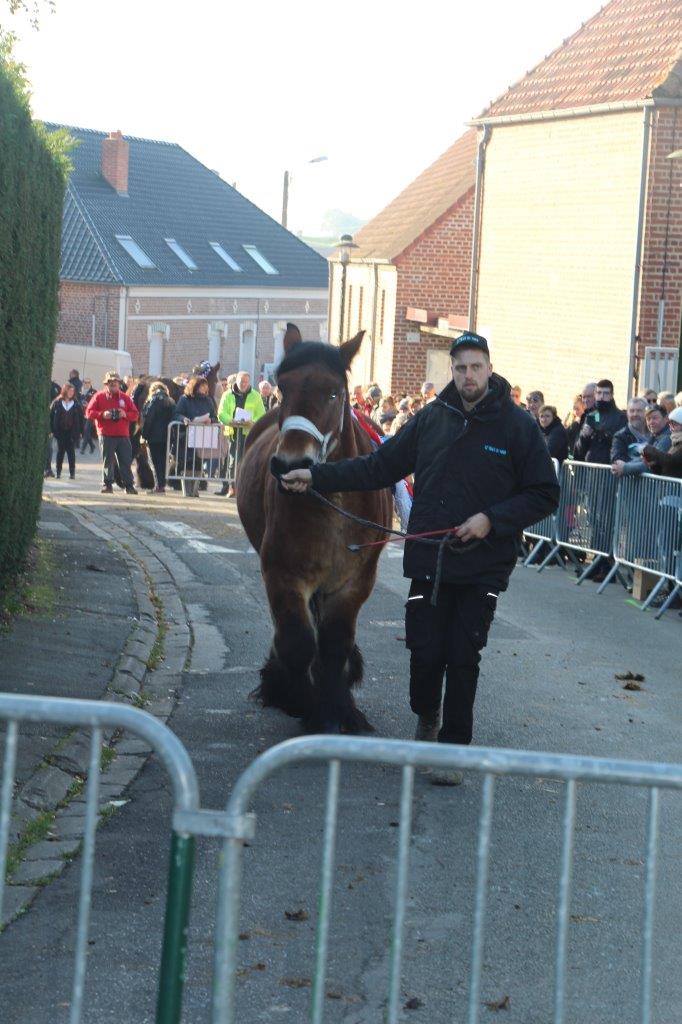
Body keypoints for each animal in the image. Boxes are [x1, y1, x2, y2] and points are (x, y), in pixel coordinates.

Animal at [237, 323, 387, 733]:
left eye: (334, 392)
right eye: (283, 388)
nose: (291, 464)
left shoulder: (354, 582)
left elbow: (334, 645)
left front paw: (338, 709)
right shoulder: (283, 574)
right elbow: (297, 642)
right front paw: (302, 701)